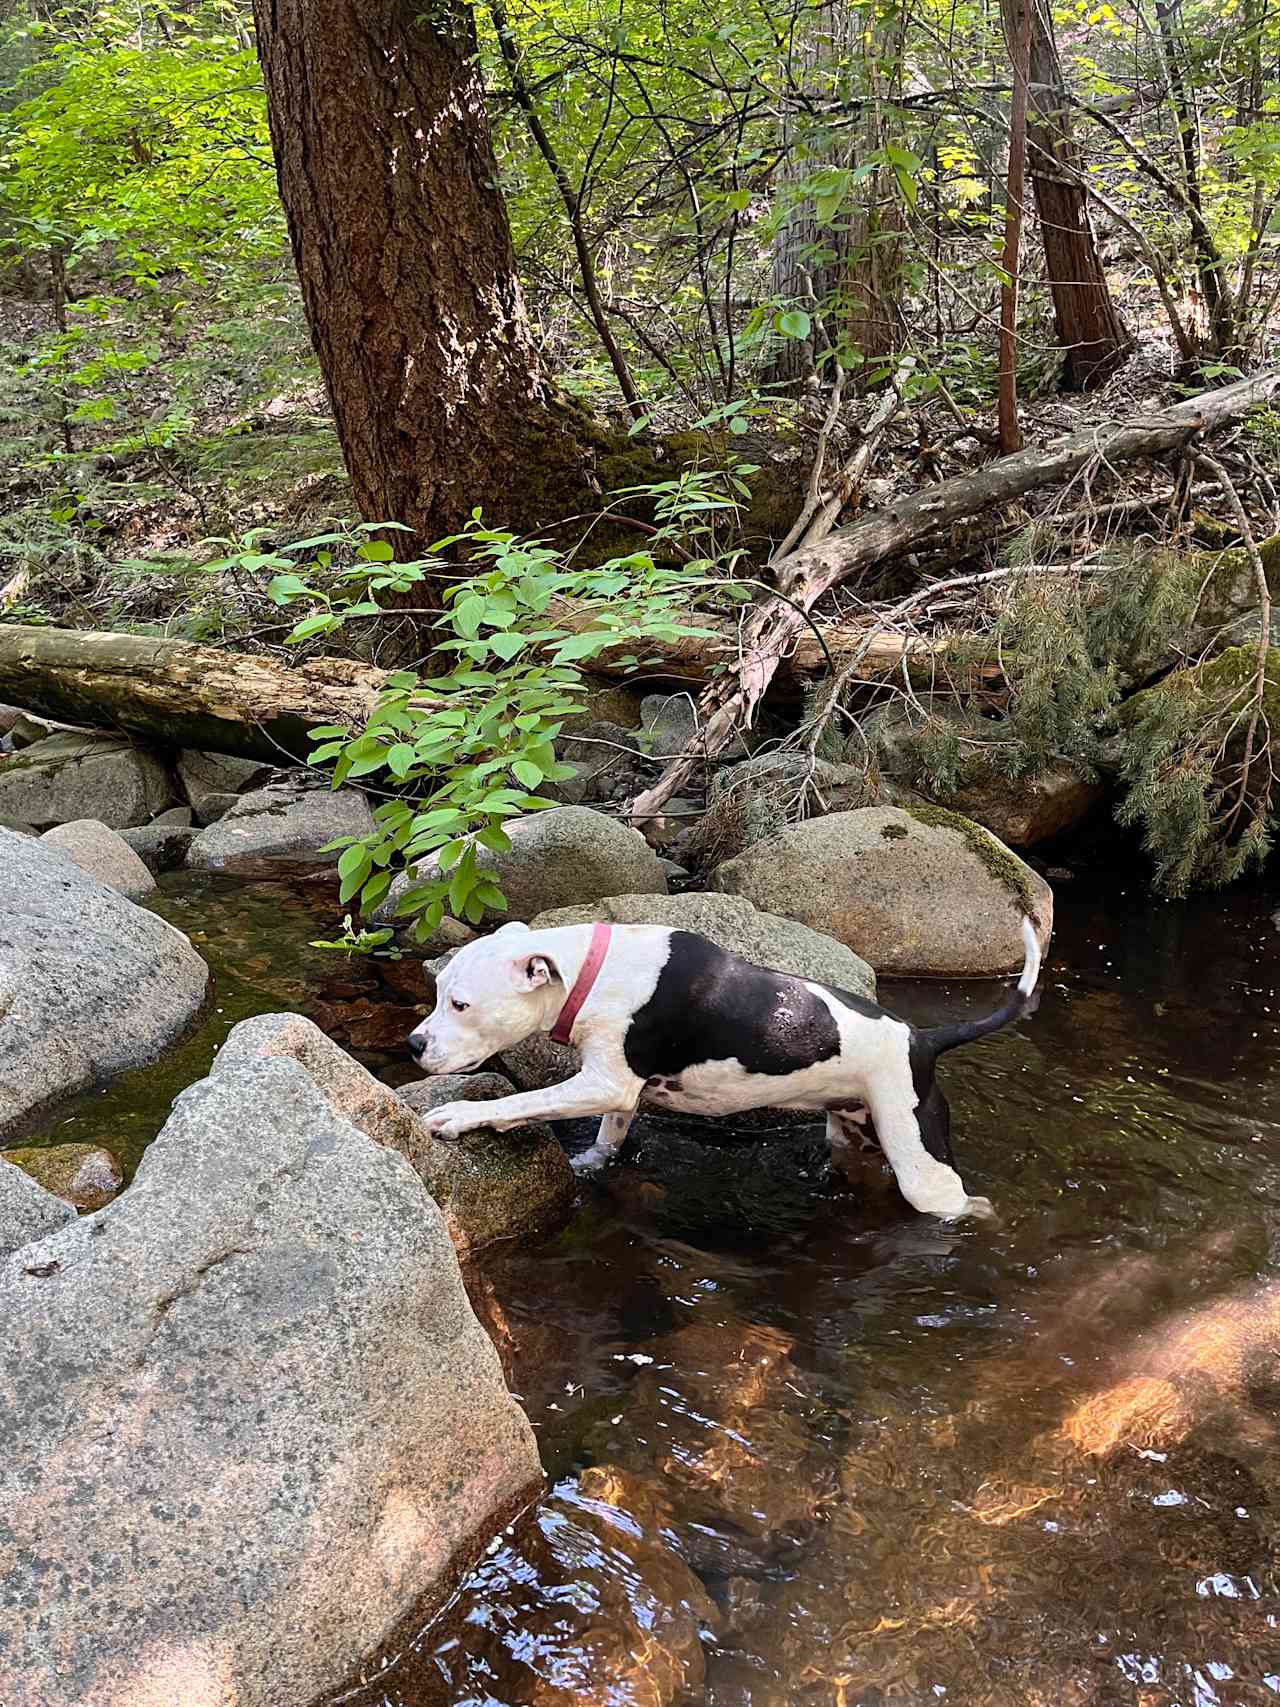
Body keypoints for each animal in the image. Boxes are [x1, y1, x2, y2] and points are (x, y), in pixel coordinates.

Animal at [406, 914, 1044, 1222]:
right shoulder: (618, 1093)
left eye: (460, 1004)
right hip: (854, 1132)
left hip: (920, 1162)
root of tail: (924, 1039)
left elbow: (521, 1100)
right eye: (437, 994)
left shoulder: (605, 1082)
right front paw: (591, 1163)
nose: (412, 1044)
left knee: (962, 1202)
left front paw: (460, 1115)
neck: (597, 971)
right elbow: (609, 1137)